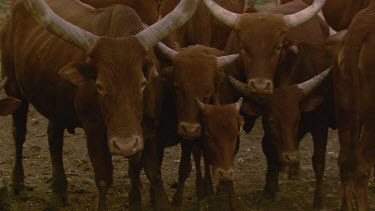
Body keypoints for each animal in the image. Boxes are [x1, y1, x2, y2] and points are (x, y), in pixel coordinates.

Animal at [0, 0, 200, 209]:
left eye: (142, 83)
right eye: (99, 86)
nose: (125, 145)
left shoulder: (150, 127)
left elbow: (151, 171)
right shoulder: (93, 128)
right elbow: (103, 176)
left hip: (55, 104)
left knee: (54, 138)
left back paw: (58, 192)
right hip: (14, 88)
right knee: (19, 133)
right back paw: (16, 183)